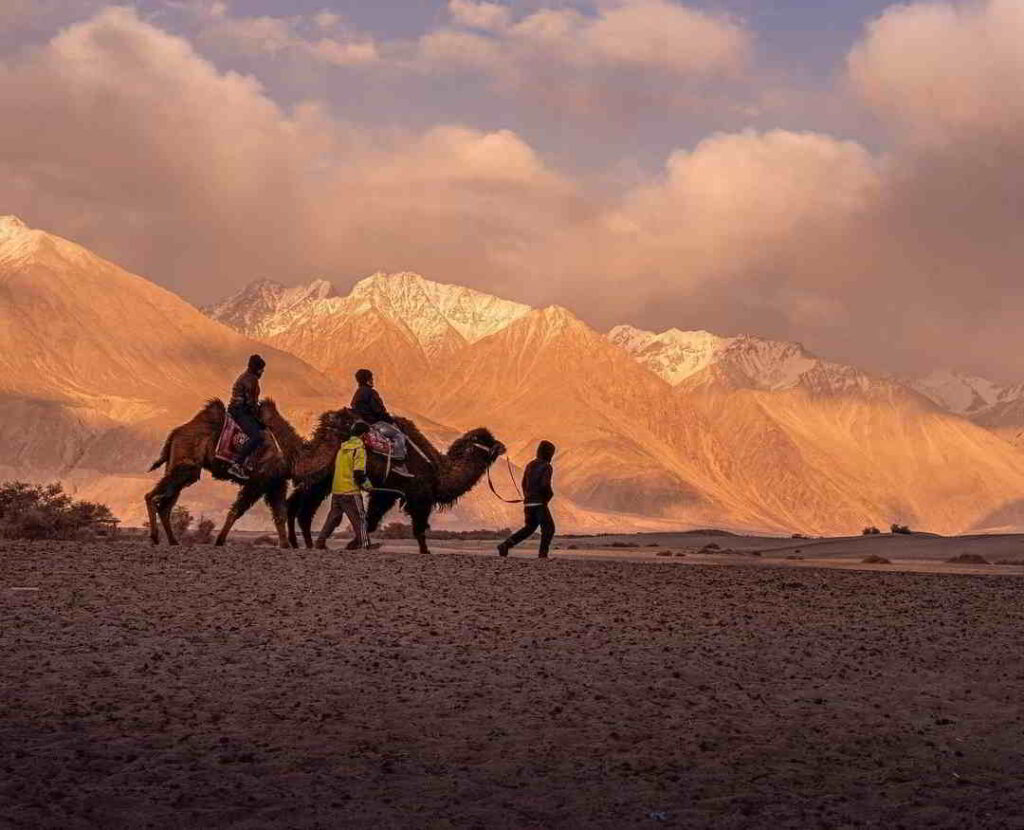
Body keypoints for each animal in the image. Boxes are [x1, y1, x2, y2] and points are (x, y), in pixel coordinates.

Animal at [144, 399, 347, 547]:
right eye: (345, 417)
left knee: (166, 504)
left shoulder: (275, 482)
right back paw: (155, 537)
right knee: (151, 496)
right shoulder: (259, 480)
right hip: (186, 464)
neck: (292, 455)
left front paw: (285, 545)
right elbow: (237, 510)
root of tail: (175, 433)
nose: (351, 412)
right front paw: (219, 541)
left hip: (181, 467)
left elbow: (280, 514)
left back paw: (173, 541)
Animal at [283, 414, 507, 554]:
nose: (503, 446)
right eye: (486, 440)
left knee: (298, 503)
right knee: (303, 506)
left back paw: (302, 543)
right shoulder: (419, 496)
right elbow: (418, 527)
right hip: (327, 473)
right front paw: (425, 550)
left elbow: (372, 519)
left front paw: (354, 544)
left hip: (325, 476)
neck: (437, 472)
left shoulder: (388, 493)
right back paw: (304, 543)